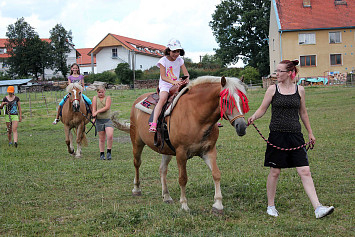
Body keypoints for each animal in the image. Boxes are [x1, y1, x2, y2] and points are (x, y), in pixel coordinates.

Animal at [112, 76, 250, 213]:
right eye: (226, 100)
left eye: (243, 100)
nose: (242, 126)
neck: (195, 115)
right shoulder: (181, 154)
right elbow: (183, 179)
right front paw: (184, 204)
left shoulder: (209, 151)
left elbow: (216, 174)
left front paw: (218, 204)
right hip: (137, 142)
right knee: (137, 163)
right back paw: (136, 189)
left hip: (166, 150)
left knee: (162, 170)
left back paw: (166, 196)